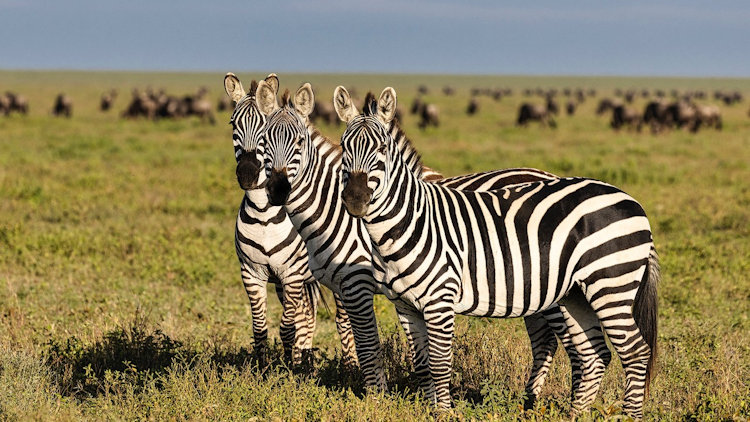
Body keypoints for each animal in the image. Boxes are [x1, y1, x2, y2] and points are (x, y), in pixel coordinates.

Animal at [223, 74, 358, 368]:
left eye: (263, 128)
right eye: (233, 123)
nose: (248, 174)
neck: (263, 214)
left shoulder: (292, 274)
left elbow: (286, 326)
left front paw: (285, 368)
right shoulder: (252, 273)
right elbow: (260, 327)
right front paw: (262, 368)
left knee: (342, 320)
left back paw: (348, 364)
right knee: (308, 317)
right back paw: (304, 359)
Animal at [258, 81, 616, 412]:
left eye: (298, 142)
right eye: (262, 142)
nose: (276, 190)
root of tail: (547, 173)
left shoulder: (357, 283)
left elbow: (367, 342)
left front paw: (377, 397)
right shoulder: (348, 287)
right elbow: (352, 336)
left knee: (567, 345)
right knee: (546, 342)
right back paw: (532, 402)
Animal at [338, 85, 660, 418]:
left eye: (382, 149)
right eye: (343, 147)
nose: (355, 200)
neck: (411, 222)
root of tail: (631, 200)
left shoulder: (440, 299)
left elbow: (440, 364)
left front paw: (445, 414)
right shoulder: (405, 305)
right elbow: (423, 364)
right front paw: (431, 410)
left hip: (610, 284)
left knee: (635, 351)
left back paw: (630, 416)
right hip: (576, 293)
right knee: (593, 353)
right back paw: (576, 415)